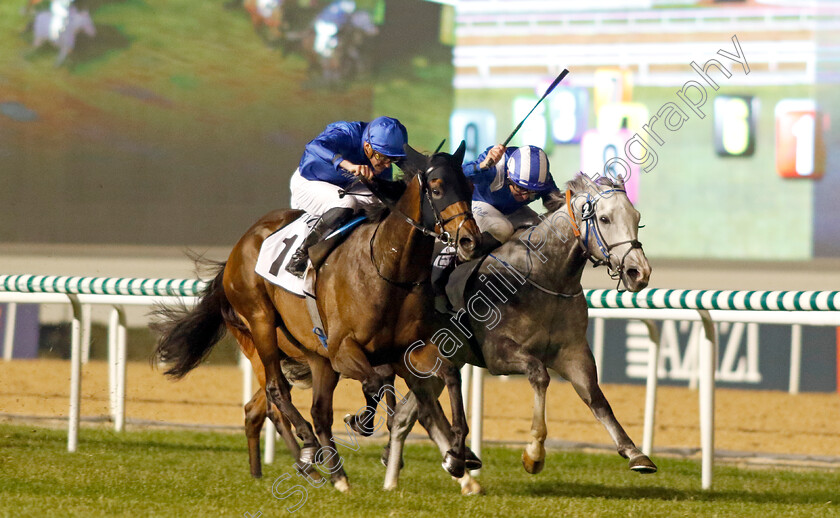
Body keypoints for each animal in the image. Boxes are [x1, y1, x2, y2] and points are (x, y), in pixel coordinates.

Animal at [151, 142, 480, 492]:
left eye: (470, 187)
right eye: (437, 188)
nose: (470, 240)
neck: (388, 268)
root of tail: (240, 246)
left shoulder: (409, 349)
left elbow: (447, 377)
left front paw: (458, 456)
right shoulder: (344, 349)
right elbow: (378, 384)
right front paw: (361, 423)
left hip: (315, 354)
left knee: (316, 410)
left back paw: (335, 473)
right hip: (261, 324)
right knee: (278, 391)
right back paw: (310, 452)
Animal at [380, 174, 656, 496]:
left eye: (637, 218)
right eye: (604, 218)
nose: (639, 272)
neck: (543, 276)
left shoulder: (573, 353)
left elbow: (596, 398)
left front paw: (635, 453)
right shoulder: (498, 354)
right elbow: (539, 375)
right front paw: (534, 453)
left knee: (404, 415)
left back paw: (396, 481)